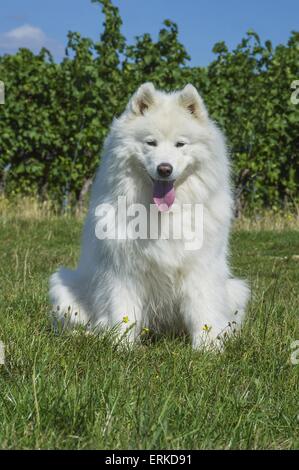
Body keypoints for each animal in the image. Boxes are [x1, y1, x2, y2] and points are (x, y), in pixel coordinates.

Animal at [49, 83, 251, 348]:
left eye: (180, 144)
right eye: (151, 143)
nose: (164, 169)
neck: (164, 215)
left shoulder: (200, 267)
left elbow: (203, 311)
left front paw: (207, 348)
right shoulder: (123, 270)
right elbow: (123, 312)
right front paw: (122, 346)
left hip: (236, 289)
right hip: (63, 287)